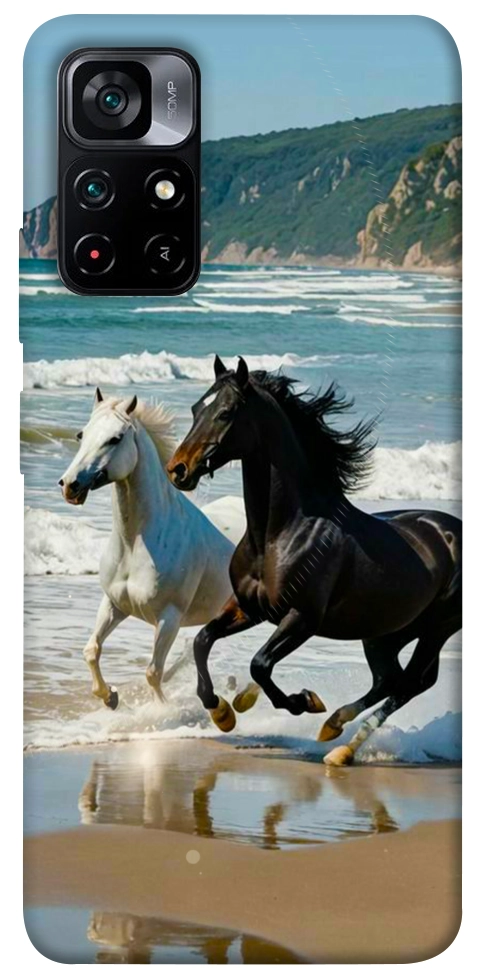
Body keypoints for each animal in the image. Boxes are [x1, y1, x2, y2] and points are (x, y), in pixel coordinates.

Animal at [59, 388, 234, 709]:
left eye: (115, 438)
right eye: (81, 434)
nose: (69, 485)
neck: (135, 544)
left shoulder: (169, 618)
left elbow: (153, 672)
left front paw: (161, 711)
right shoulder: (114, 604)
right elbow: (92, 650)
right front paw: (110, 697)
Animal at [166, 356, 462, 765]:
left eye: (225, 413)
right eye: (197, 408)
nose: (178, 469)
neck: (280, 534)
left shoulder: (302, 618)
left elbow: (260, 664)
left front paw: (302, 701)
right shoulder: (248, 608)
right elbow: (202, 641)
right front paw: (223, 711)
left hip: (437, 628)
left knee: (411, 683)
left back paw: (341, 746)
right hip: (386, 632)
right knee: (390, 679)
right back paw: (334, 729)